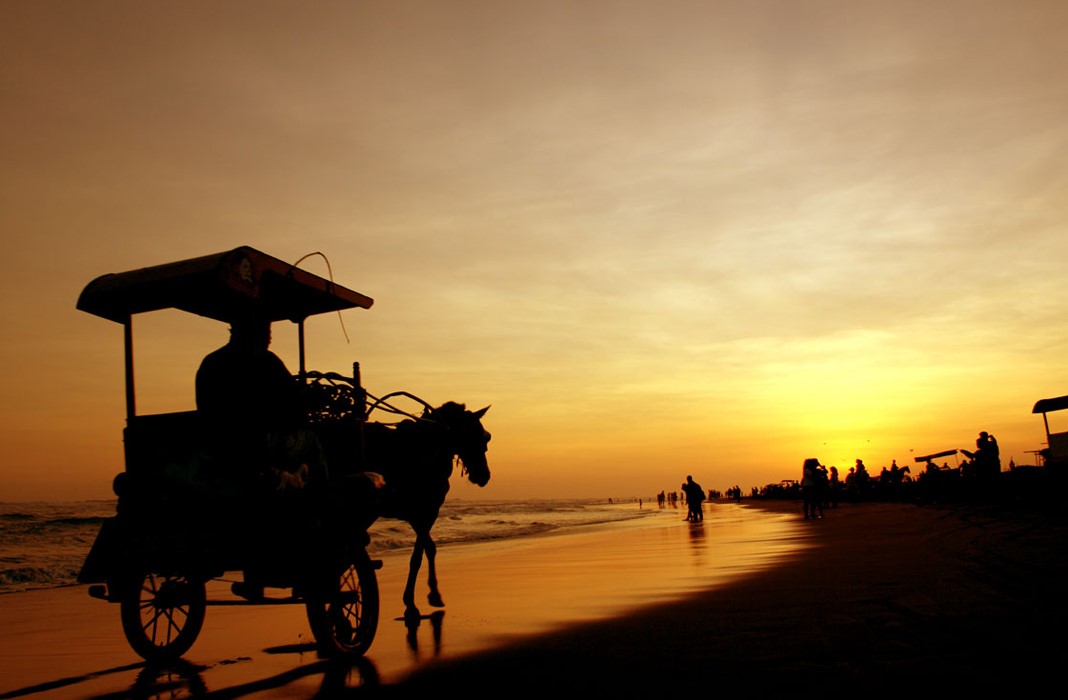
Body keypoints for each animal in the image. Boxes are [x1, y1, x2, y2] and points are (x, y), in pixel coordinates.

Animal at [360, 401, 489, 615]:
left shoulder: (420, 515)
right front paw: (416, 601)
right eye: (472, 435)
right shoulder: (424, 512)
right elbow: (419, 555)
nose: (484, 475)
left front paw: (427, 595)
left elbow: (428, 549)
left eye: (486, 437)